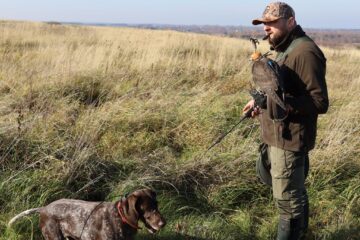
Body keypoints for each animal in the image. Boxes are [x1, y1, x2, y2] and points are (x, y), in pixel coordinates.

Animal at [8, 188, 166, 239]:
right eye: (148, 208)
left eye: (157, 205)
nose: (163, 223)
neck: (121, 218)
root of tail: (44, 208)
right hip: (54, 237)